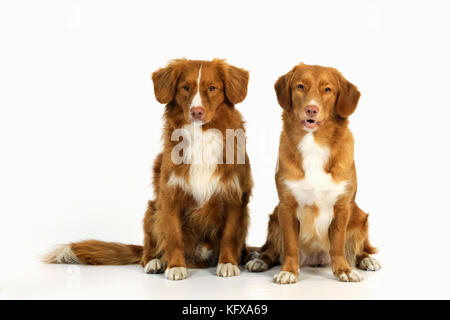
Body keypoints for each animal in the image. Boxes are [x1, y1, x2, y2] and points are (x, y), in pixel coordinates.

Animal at [43, 58, 253, 282]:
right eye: (185, 87)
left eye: (212, 88)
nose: (196, 112)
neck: (200, 137)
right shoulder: (169, 197)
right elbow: (173, 236)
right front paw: (175, 266)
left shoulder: (234, 197)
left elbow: (229, 235)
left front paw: (228, 263)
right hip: (152, 211)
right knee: (148, 251)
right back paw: (156, 262)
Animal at [244, 63, 382, 284]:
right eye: (300, 86)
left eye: (328, 89)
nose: (311, 109)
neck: (314, 144)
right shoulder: (286, 206)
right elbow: (290, 245)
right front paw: (289, 271)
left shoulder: (342, 207)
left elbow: (338, 244)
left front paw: (343, 269)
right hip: (274, 218)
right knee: (271, 250)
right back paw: (260, 261)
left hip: (360, 218)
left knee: (357, 249)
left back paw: (367, 260)